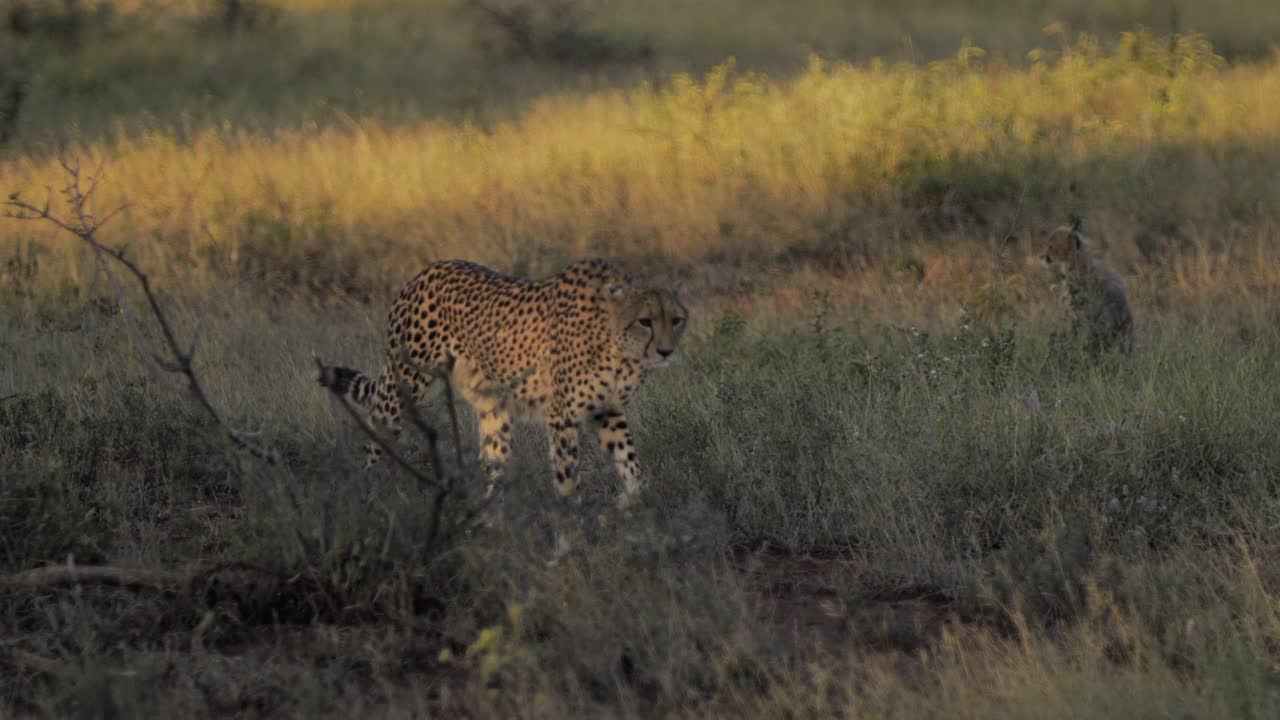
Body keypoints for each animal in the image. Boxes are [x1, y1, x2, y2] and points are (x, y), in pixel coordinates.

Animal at [315, 258, 688, 510]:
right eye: (645, 321)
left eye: (677, 320)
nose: (667, 351)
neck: (617, 343)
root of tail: (426, 271)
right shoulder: (562, 415)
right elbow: (568, 474)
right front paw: (572, 520)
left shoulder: (607, 410)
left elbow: (630, 460)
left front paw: (636, 501)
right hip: (402, 386)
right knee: (375, 435)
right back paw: (365, 496)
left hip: (493, 407)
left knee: (492, 459)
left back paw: (490, 516)